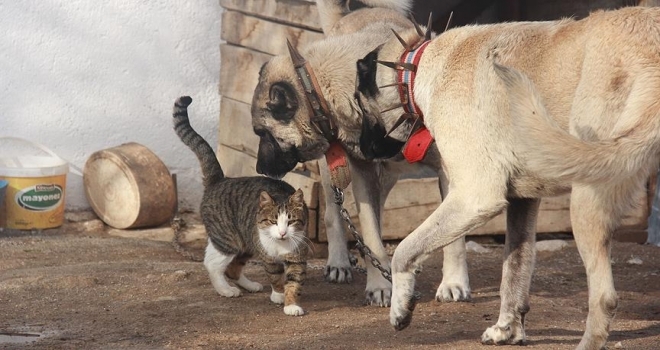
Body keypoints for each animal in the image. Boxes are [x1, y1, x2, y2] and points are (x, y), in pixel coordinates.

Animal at [174, 95, 310, 318]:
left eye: (290, 221)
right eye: (273, 221)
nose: (282, 233)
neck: (280, 246)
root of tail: (220, 180)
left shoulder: (297, 257)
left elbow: (294, 282)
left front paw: (291, 304)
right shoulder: (268, 258)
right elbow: (276, 277)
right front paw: (279, 295)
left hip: (245, 242)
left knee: (232, 268)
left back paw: (249, 285)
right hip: (229, 239)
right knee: (212, 263)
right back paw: (226, 290)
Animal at [250, 0, 472, 306]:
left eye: (263, 133)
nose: (259, 169)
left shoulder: (447, 171)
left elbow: (452, 237)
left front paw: (453, 283)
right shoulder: (362, 173)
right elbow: (371, 235)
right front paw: (380, 286)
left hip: (387, 174)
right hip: (335, 174)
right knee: (335, 216)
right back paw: (341, 262)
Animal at [350, 4, 660, 348]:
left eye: (359, 103)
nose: (360, 149)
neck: (418, 65)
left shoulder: (474, 197)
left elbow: (404, 251)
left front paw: (400, 308)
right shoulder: (522, 202)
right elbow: (514, 271)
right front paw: (507, 329)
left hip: (587, 198)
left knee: (604, 297)